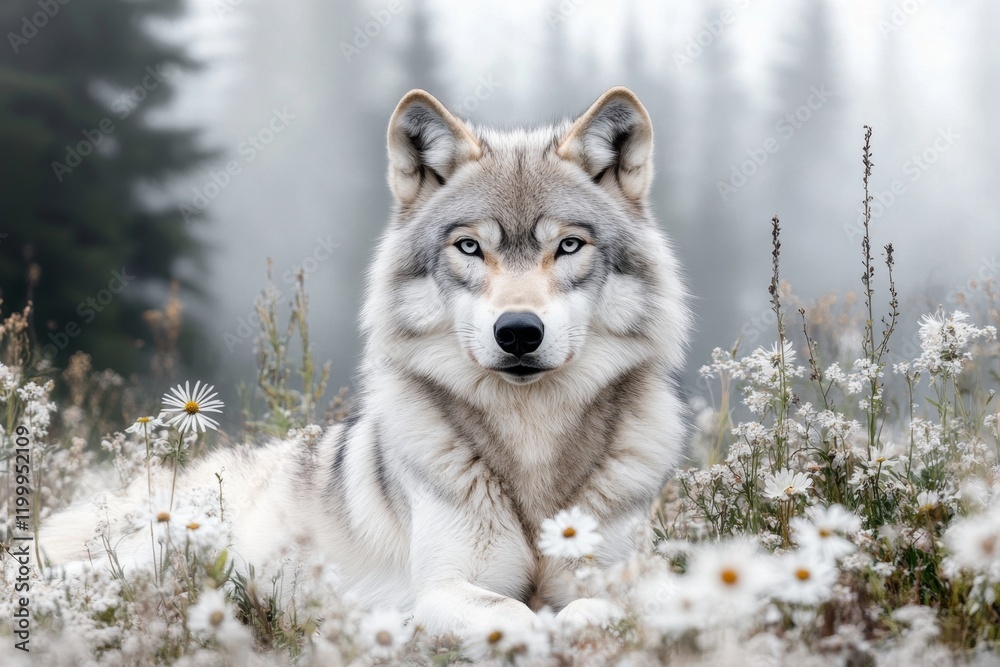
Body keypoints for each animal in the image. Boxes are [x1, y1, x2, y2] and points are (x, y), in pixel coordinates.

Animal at [44, 86, 691, 634]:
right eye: (469, 247)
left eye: (569, 245)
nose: (518, 332)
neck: (530, 443)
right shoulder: (442, 589)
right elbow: (517, 614)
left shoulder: (615, 573)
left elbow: (605, 605)